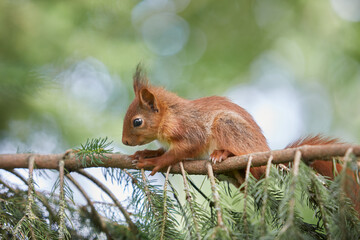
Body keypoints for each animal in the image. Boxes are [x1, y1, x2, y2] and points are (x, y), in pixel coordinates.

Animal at [122, 64, 358, 211]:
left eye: (137, 122)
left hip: (227, 124)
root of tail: (266, 152)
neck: (170, 114)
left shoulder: (189, 128)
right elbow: (163, 149)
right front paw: (145, 153)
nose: (124, 141)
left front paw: (156, 161)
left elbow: (185, 148)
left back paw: (222, 154)